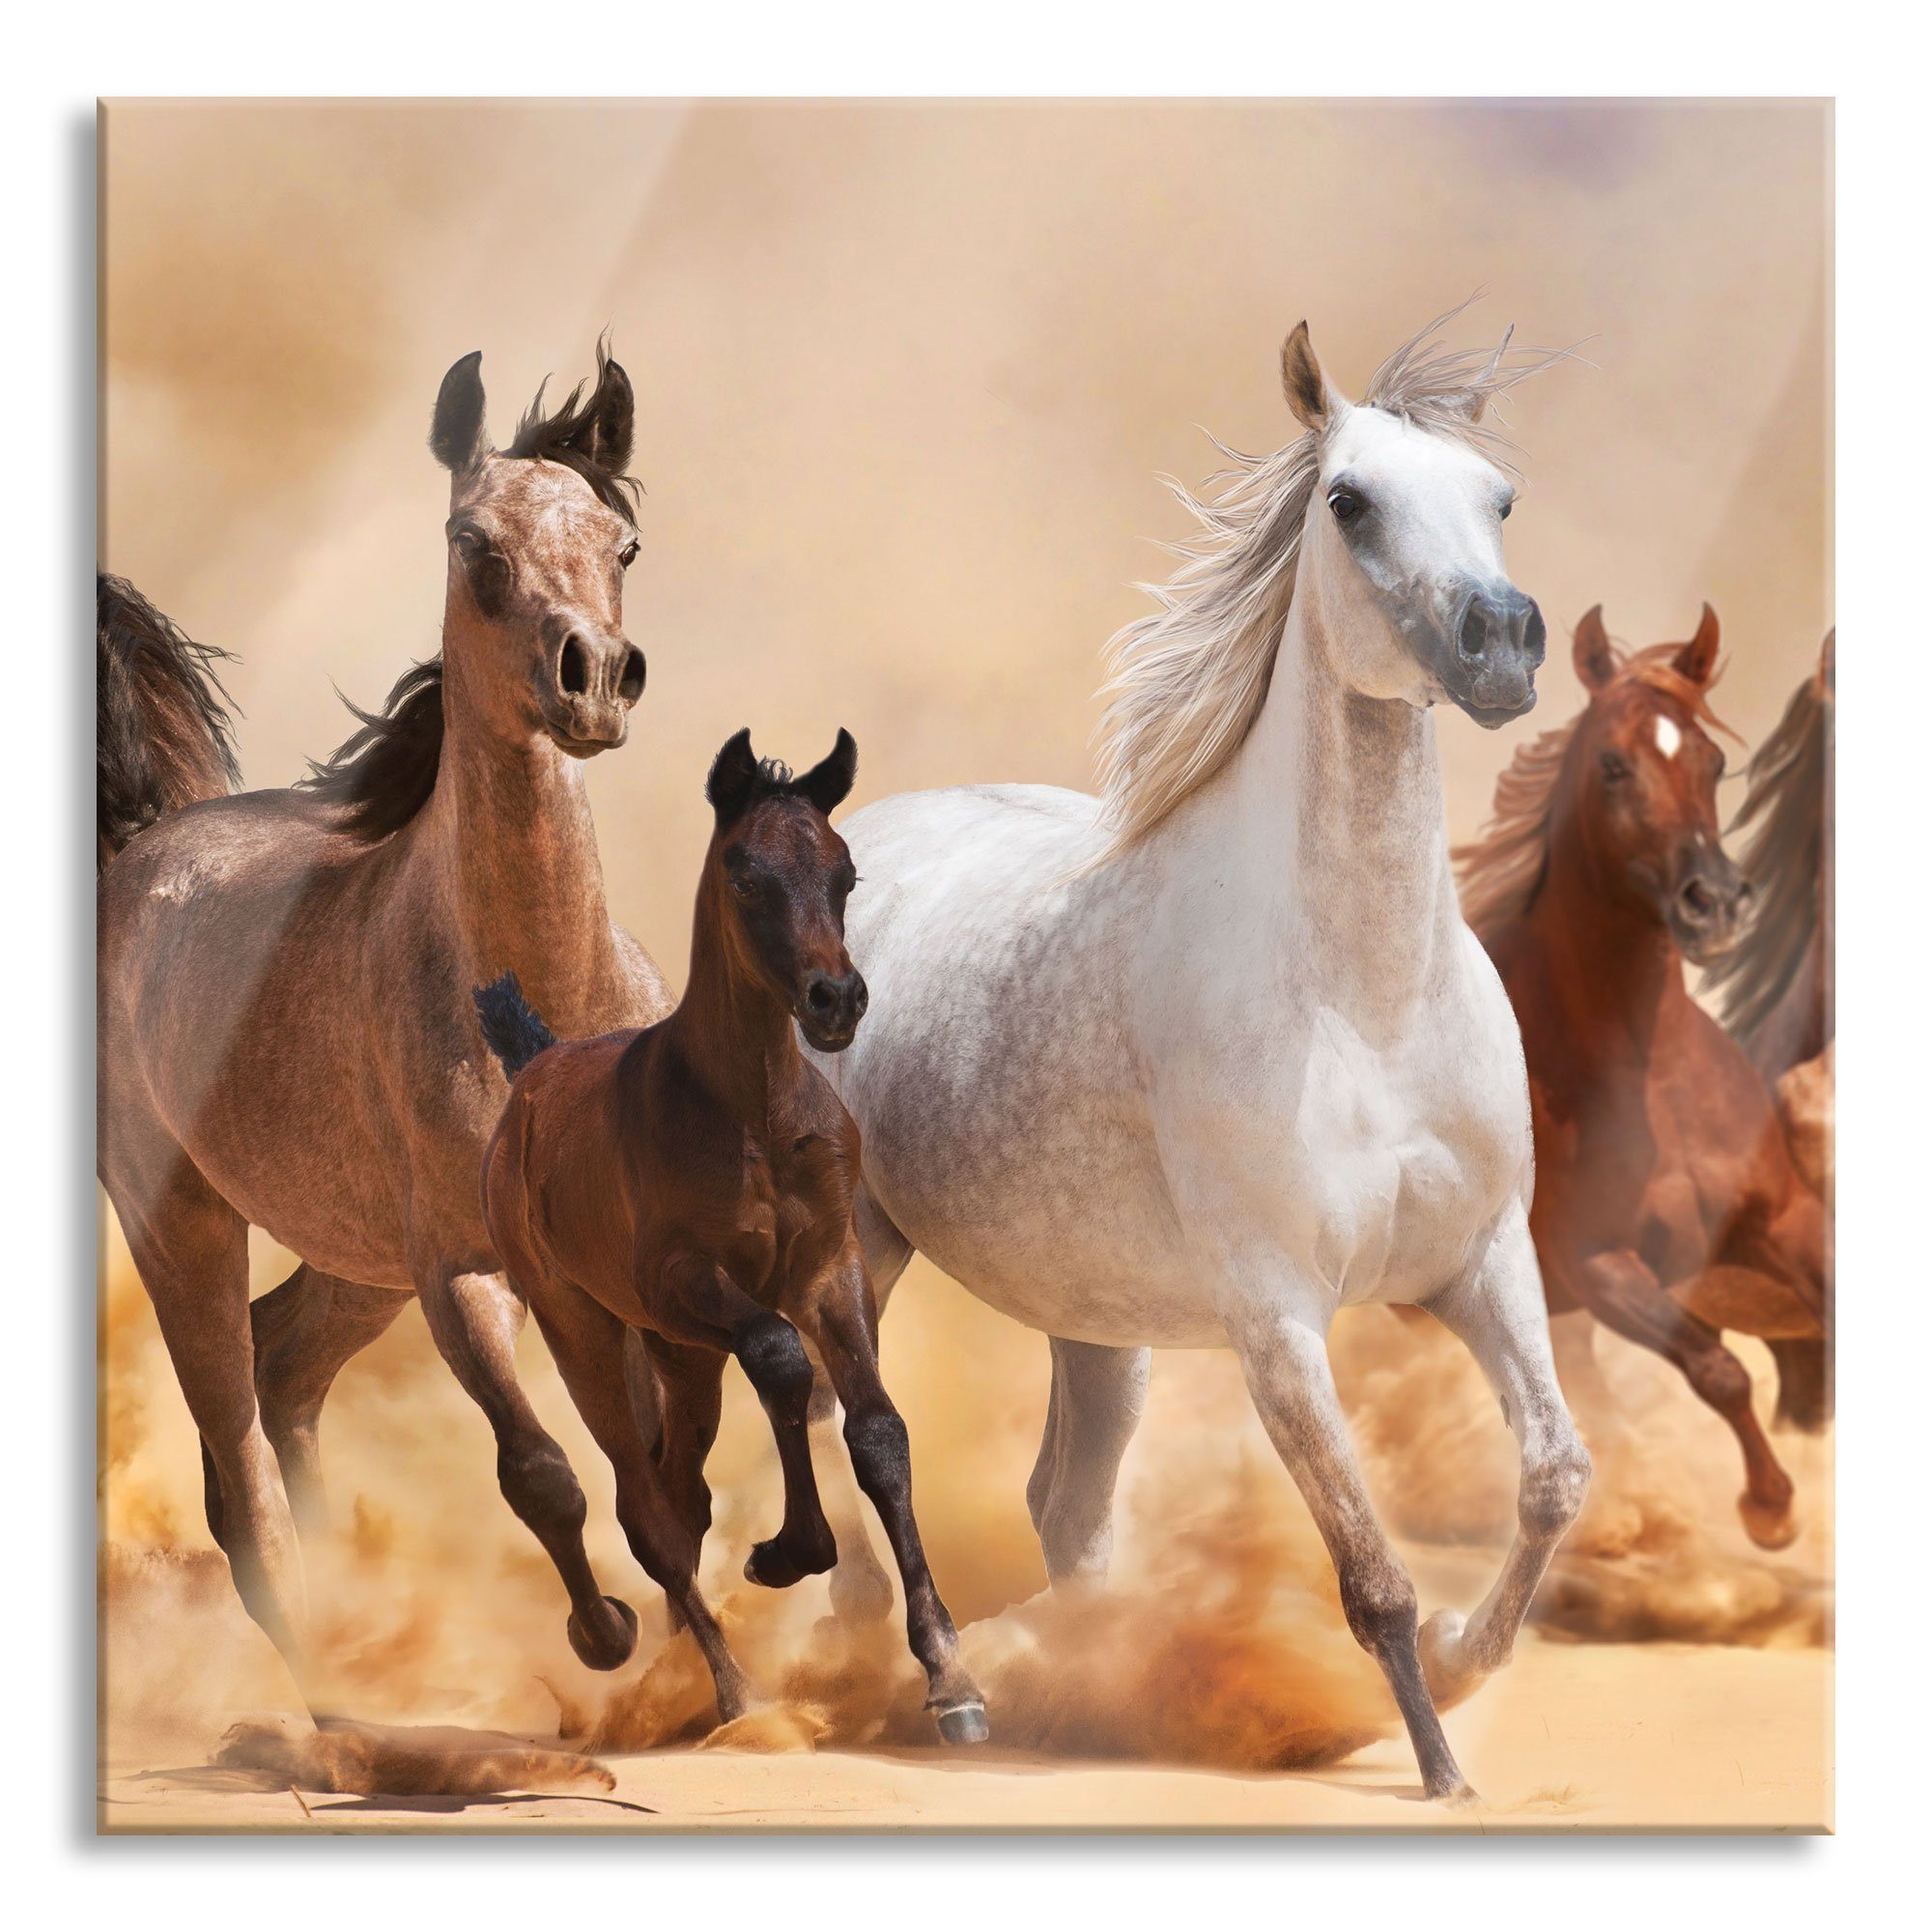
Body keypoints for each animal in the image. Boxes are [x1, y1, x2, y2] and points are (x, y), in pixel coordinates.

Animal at [97, 344, 674, 1687]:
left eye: (621, 544)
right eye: (474, 544)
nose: (592, 679)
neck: (538, 994)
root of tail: (144, 845)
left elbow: (655, 1469)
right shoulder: (461, 1267)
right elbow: (544, 1471)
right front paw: (607, 1633)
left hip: (352, 1258)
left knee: (285, 1363)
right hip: (184, 1224)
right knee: (242, 1455)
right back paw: (326, 1682)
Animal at [473, 730, 988, 1743]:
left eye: (845, 872)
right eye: (746, 872)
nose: (836, 999)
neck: (751, 1112)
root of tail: (534, 1069)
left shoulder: (831, 1267)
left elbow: (878, 1433)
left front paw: (952, 1676)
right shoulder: (685, 1280)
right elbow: (782, 1359)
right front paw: (789, 1552)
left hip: (682, 1358)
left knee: (683, 1491)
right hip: (588, 1327)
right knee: (646, 1512)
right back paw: (729, 1690)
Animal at [806, 306, 1590, 1804]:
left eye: (1502, 500)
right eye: (1347, 501)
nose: (1504, 643)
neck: (1363, 1000)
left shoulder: (1482, 1257)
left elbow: (1552, 1476)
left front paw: (1471, 1663)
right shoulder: (1277, 1316)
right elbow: (1371, 1572)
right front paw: (1439, 1766)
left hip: (1097, 1319)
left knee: (1067, 1505)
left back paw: (1088, 1685)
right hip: (857, 1249)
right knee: (847, 1440)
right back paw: (921, 1677)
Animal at [1455, 607, 1829, 1542]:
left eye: (1714, 761)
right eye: (1612, 765)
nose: (1715, 903)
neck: (1649, 1078)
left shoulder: (1786, 1220)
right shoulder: (1601, 1265)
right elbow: (1718, 1369)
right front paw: (1771, 1509)